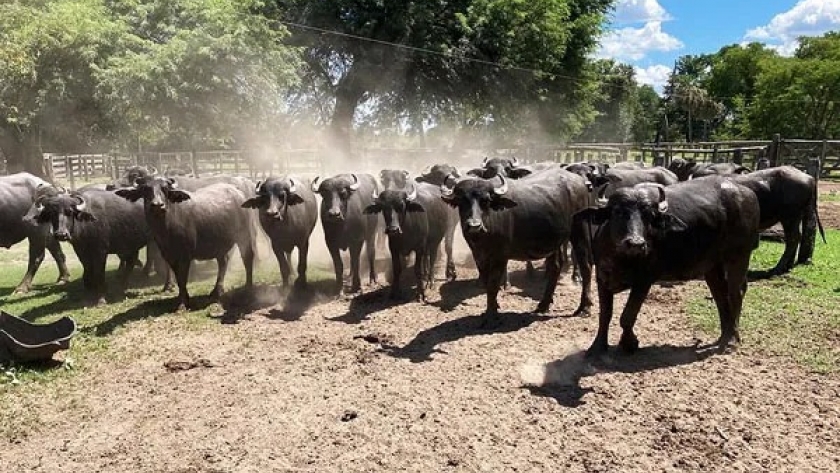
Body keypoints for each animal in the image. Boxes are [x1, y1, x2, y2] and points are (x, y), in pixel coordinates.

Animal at [114, 175, 256, 312]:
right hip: (220, 244)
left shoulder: (185, 257)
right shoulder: (169, 256)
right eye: (145, 189)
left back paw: (248, 288)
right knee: (223, 262)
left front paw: (182, 303)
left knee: (247, 258)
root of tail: (237, 191)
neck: (167, 228)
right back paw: (217, 291)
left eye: (165, 189)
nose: (157, 205)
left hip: (244, 234)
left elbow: (183, 279)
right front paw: (183, 298)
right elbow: (178, 279)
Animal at [440, 170, 592, 320]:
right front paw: (493, 306)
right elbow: (486, 281)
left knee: (586, 267)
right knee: (556, 266)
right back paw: (543, 305)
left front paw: (490, 313)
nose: (474, 226)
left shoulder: (500, 257)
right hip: (555, 241)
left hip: (579, 234)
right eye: (461, 200)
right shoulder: (478, 256)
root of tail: (581, 182)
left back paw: (584, 307)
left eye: (486, 201)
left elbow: (493, 283)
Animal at [576, 179, 764, 356]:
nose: (636, 243)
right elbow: (605, 315)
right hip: (712, 265)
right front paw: (597, 347)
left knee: (736, 292)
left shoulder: (644, 281)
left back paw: (732, 339)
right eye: (617, 212)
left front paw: (629, 343)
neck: (622, 258)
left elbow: (627, 316)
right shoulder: (602, 278)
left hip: (739, 255)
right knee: (720, 294)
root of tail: (748, 194)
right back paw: (723, 336)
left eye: (648, 216)